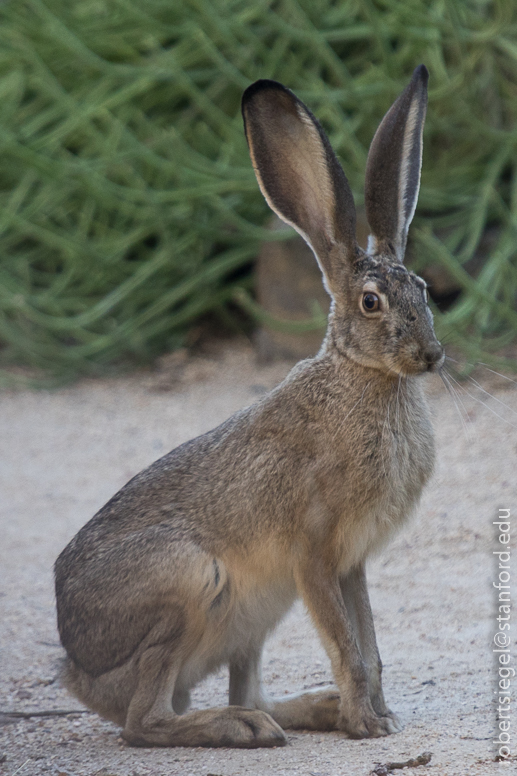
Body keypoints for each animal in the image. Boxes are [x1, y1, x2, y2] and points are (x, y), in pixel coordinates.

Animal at [54, 64, 444, 749]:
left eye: (423, 289)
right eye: (371, 303)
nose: (432, 355)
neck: (363, 376)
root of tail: (78, 669)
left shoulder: (351, 564)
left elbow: (369, 647)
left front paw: (377, 715)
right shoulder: (314, 553)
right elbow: (347, 646)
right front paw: (367, 725)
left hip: (255, 616)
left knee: (244, 686)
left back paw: (306, 712)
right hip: (190, 582)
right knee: (145, 721)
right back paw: (242, 727)